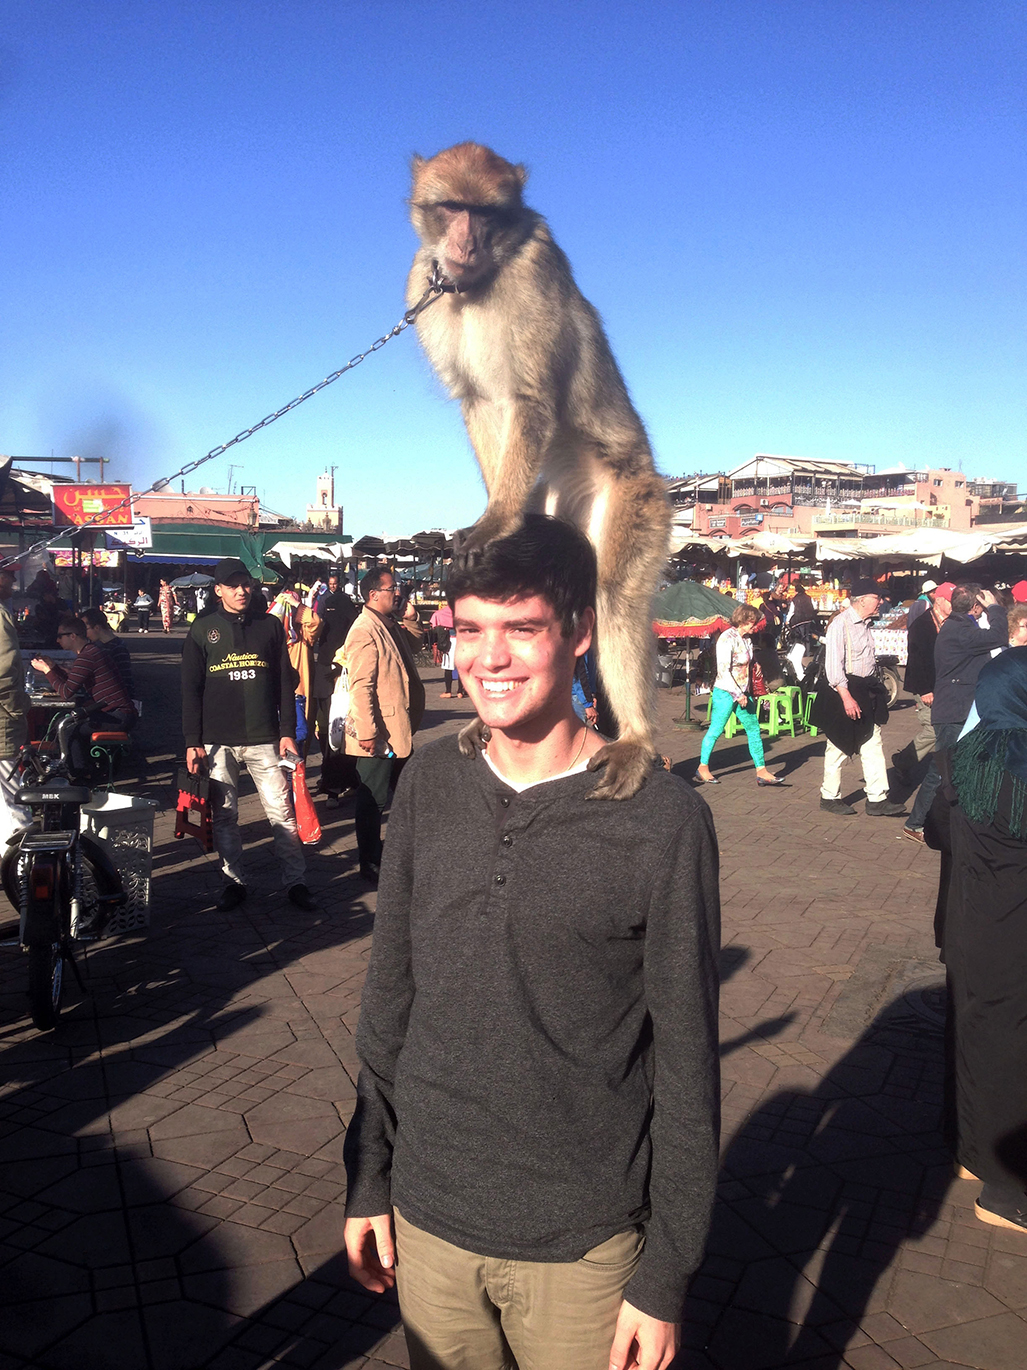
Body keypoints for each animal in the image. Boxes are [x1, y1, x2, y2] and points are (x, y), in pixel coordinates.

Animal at [405, 139, 670, 800]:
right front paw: (501, 512)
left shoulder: (533, 273)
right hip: (555, 504)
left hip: (637, 500)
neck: (475, 285)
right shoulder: (421, 281)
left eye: (486, 213)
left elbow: (529, 400)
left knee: (614, 596)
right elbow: (479, 399)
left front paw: (496, 519)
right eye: (452, 208)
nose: (466, 242)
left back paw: (637, 739)